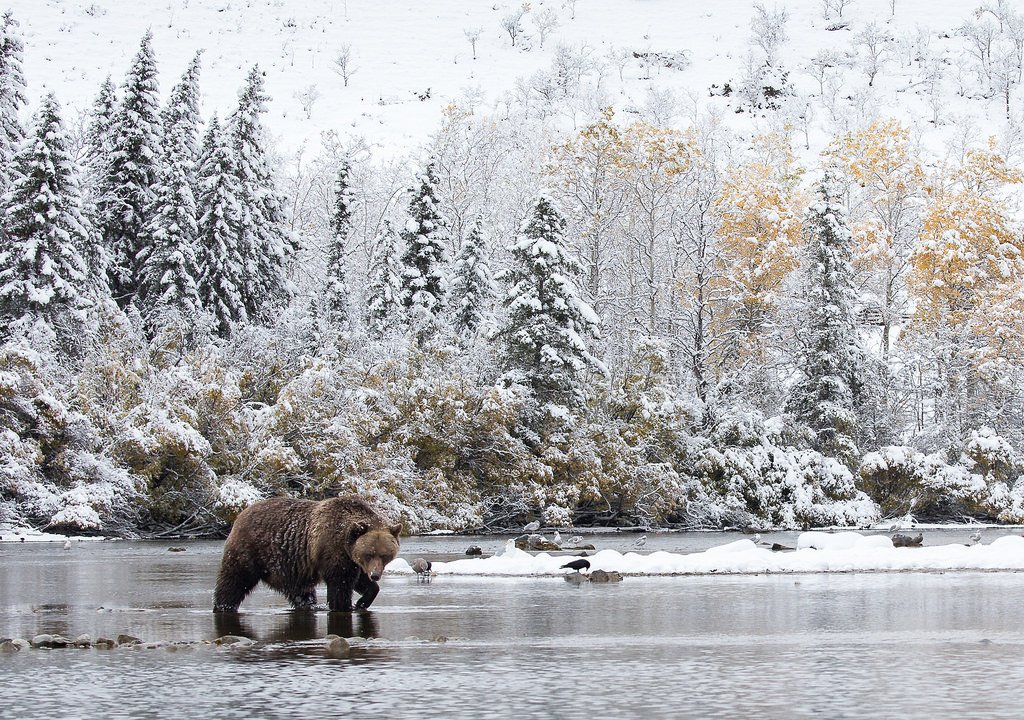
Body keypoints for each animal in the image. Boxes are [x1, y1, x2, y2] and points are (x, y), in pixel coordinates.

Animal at [213, 495, 402, 613]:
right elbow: (340, 585)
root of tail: (240, 515)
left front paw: (361, 602)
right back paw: (223, 606)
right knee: (234, 581)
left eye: (384, 555)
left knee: (301, 592)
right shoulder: (333, 551)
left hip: (290, 568)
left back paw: (308, 605)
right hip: (250, 551)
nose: (375, 575)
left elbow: (361, 582)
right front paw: (344, 606)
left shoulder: (352, 561)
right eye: (369, 553)